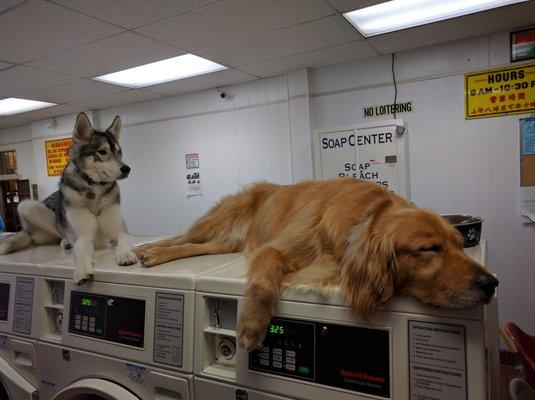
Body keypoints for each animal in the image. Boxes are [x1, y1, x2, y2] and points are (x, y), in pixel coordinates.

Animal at [0, 111, 138, 282]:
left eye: (119, 152)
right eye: (102, 152)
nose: (127, 169)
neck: (93, 187)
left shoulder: (120, 231)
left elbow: (123, 242)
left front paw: (125, 255)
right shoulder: (83, 236)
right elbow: (81, 252)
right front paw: (81, 271)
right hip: (27, 206)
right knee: (56, 233)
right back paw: (65, 241)